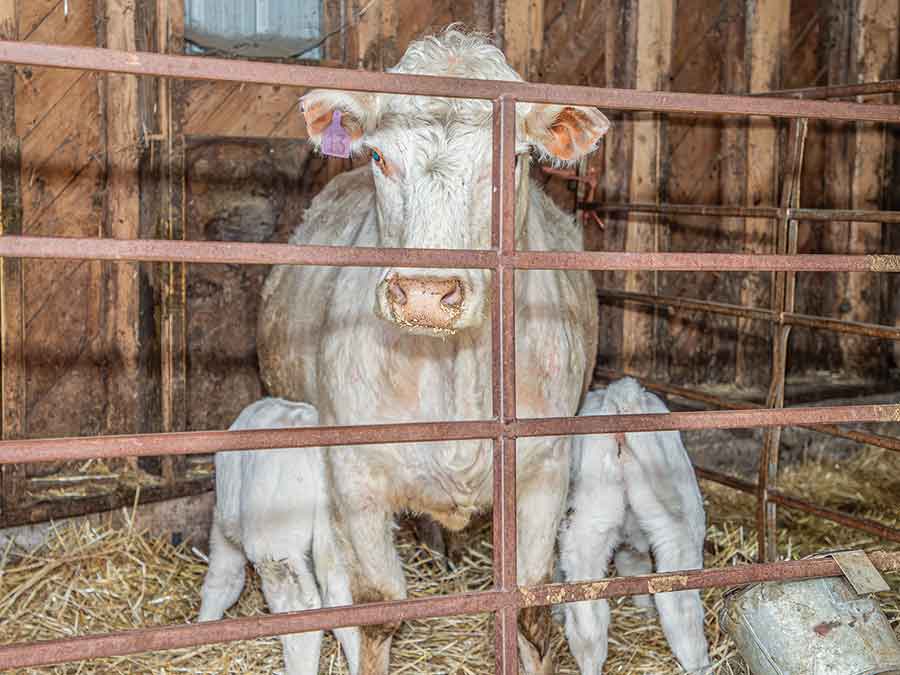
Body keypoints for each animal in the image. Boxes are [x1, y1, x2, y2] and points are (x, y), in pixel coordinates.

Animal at [258, 27, 609, 673]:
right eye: (378, 156)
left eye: (513, 159)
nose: (425, 294)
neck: (454, 371)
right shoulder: (355, 478)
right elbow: (376, 607)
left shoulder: (545, 468)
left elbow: (530, 605)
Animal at [558, 378, 711, 674]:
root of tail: (623, 395)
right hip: (680, 525)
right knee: (679, 605)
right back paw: (699, 665)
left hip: (591, 524)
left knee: (588, 616)